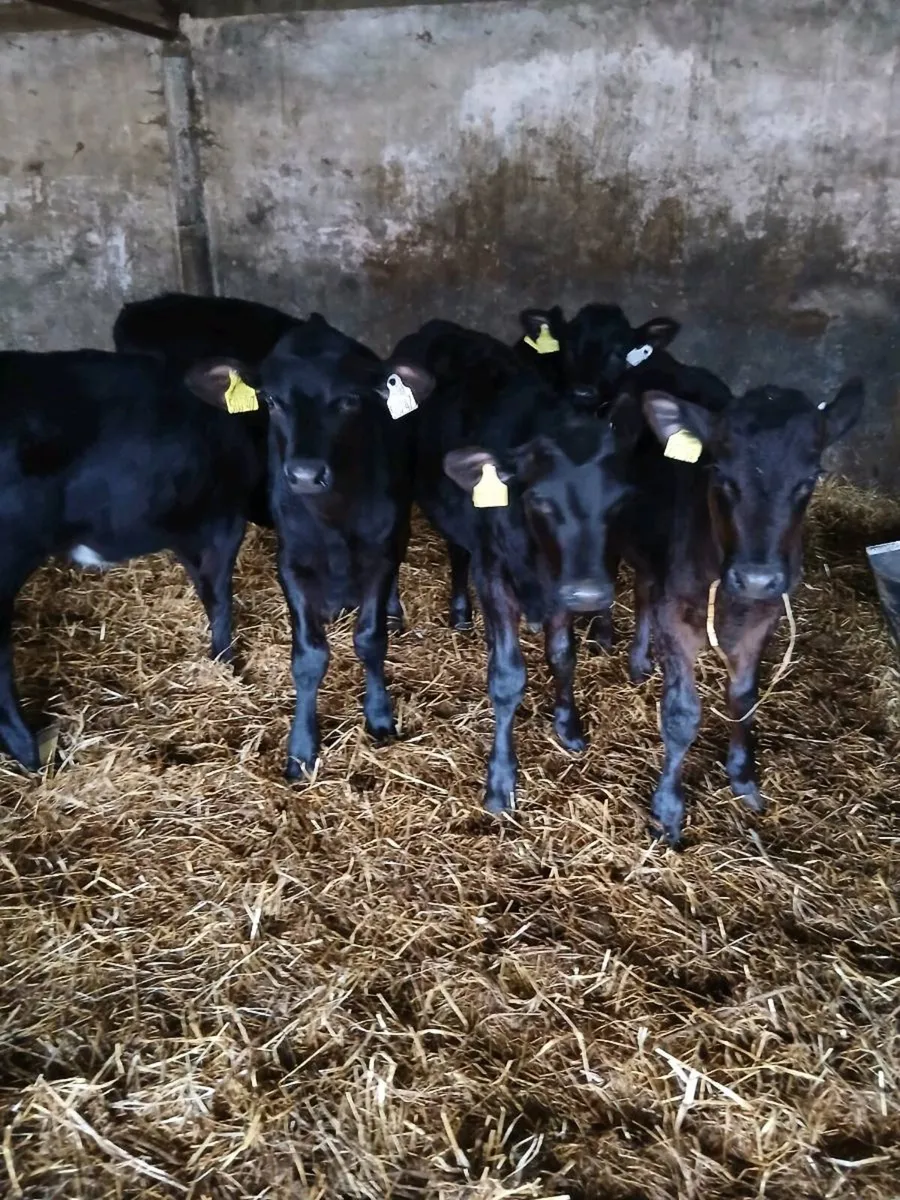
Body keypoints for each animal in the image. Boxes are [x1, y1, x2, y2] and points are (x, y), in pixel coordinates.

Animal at [187, 315, 434, 781]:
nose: (303, 474)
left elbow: (370, 639)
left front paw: (379, 715)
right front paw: (301, 748)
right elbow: (309, 655)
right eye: (270, 399)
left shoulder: (380, 552)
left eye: (349, 400)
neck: (333, 519)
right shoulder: (292, 562)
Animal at [393, 318, 642, 814]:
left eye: (622, 500)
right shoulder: (495, 574)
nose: (590, 594)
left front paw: (568, 725)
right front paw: (501, 778)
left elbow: (563, 655)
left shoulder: (561, 584)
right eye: (540, 500)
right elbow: (507, 677)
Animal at [615, 378, 864, 845]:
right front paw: (668, 809)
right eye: (720, 474)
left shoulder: (764, 618)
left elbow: (744, 697)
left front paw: (743, 776)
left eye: (810, 478)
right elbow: (681, 714)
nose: (756, 578)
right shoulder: (677, 616)